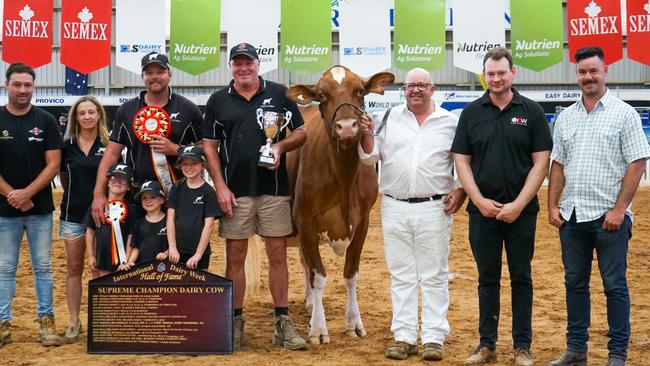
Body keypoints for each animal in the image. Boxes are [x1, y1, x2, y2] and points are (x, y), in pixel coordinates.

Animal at [286, 65, 392, 344]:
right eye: (322, 95)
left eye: (360, 91)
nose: (346, 127)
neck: (343, 176)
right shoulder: (305, 220)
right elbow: (319, 275)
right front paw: (318, 329)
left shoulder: (363, 221)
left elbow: (350, 274)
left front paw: (353, 323)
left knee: (304, 262)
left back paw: (310, 303)